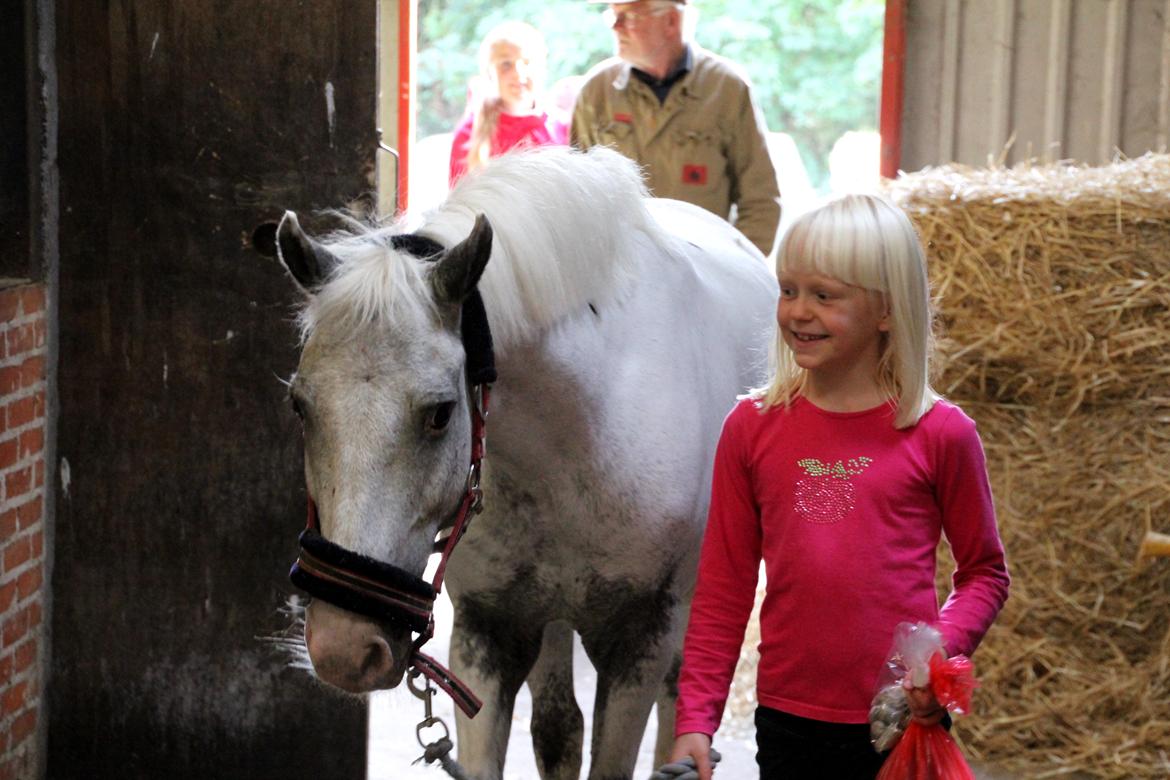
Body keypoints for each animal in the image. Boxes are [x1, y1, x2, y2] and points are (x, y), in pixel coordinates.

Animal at [256, 147, 776, 780]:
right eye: (300, 405)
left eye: (440, 413)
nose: (345, 648)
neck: (582, 436)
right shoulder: (490, 633)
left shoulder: (639, 642)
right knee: (559, 727)